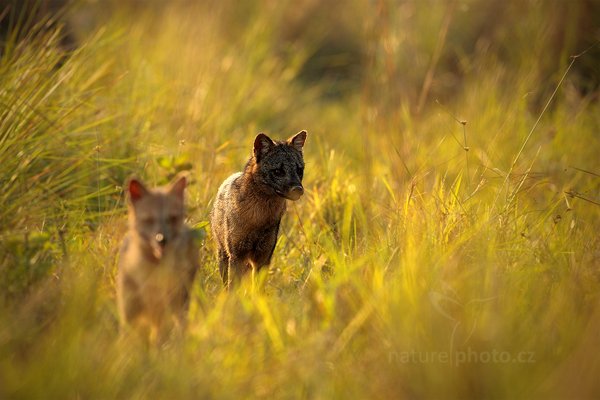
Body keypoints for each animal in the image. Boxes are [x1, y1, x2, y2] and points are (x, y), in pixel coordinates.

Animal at [211, 131, 308, 288]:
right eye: (278, 171)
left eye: (299, 170)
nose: (298, 189)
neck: (258, 217)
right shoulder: (237, 255)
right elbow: (233, 289)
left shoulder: (263, 257)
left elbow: (257, 289)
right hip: (224, 256)